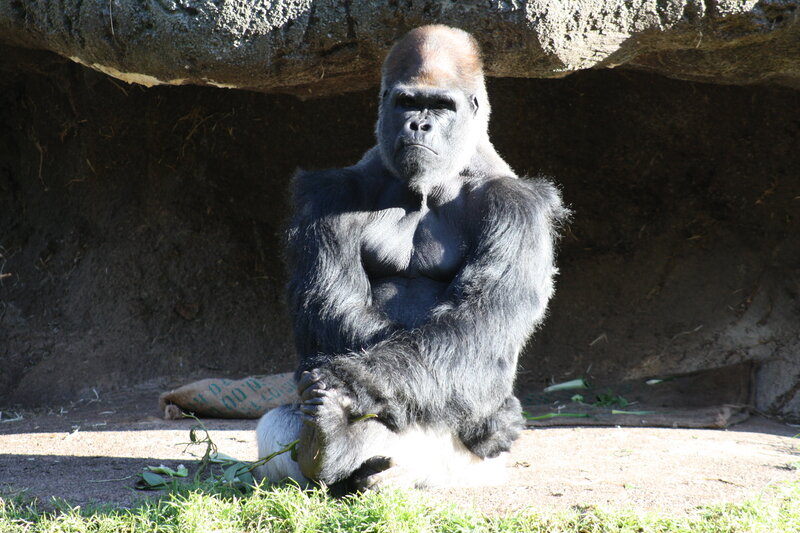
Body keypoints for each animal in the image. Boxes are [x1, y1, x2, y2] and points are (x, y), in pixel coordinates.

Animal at [256, 24, 568, 491]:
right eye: (407, 103)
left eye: (441, 106)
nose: (419, 124)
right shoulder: (331, 192)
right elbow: (331, 308)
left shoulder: (517, 206)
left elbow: (477, 322)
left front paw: (352, 382)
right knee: (276, 425)